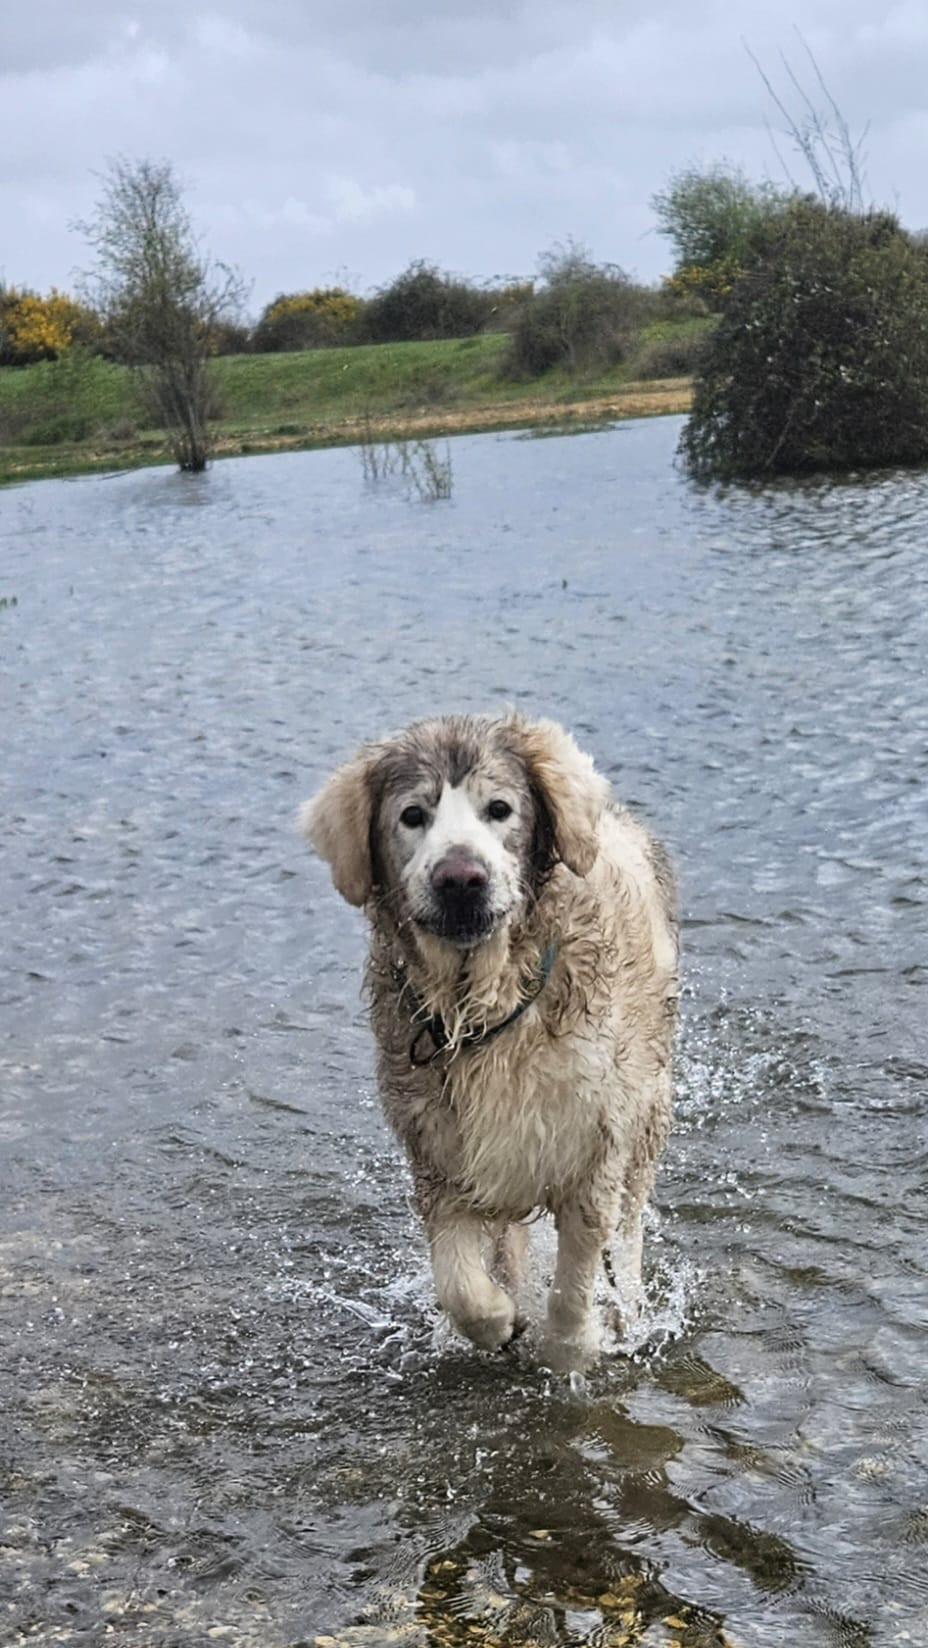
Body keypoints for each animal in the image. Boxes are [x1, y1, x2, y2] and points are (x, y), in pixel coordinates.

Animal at [303, 715, 675, 1371]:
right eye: (413, 815)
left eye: (499, 809)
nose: (460, 879)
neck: (487, 1006)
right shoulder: (441, 1149)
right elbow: (458, 1278)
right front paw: (499, 1320)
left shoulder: (594, 1143)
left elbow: (577, 1279)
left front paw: (571, 1348)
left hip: (649, 1107)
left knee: (629, 1228)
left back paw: (626, 1303)